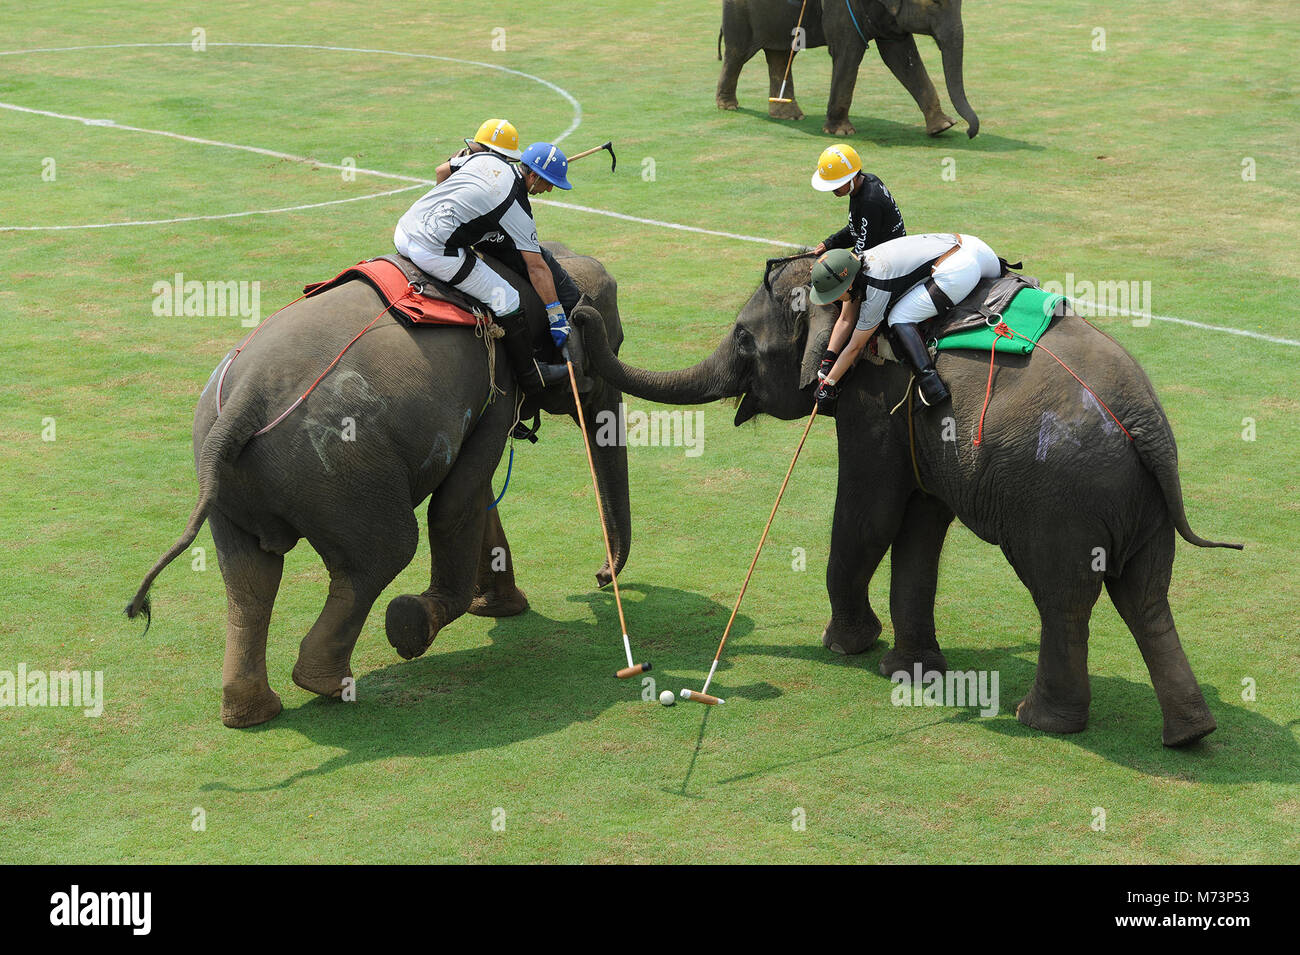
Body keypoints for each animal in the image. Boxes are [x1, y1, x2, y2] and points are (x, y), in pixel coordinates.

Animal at [126, 242, 629, 727]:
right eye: (616, 341)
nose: (601, 576)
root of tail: (242, 403)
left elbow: (476, 491)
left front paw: (502, 607)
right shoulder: (499, 383)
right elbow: (458, 500)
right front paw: (421, 621)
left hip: (233, 486)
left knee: (249, 579)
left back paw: (252, 713)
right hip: (344, 470)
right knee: (381, 554)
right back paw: (328, 683)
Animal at [577, 259, 1237, 748]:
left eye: (743, 337)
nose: (579, 312)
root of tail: (1145, 424)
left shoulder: (877, 397)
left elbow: (868, 516)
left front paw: (845, 646)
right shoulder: (919, 428)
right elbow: (918, 526)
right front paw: (912, 670)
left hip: (1061, 501)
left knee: (1063, 598)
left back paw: (1041, 721)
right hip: (1139, 505)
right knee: (1145, 597)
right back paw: (1190, 734)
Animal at [717, 0, 977, 138]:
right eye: (935, 2)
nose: (969, 132)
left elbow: (901, 55)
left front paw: (942, 127)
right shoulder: (839, 7)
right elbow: (849, 52)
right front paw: (841, 133)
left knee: (780, 55)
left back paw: (790, 115)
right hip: (739, 12)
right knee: (737, 52)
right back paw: (728, 106)